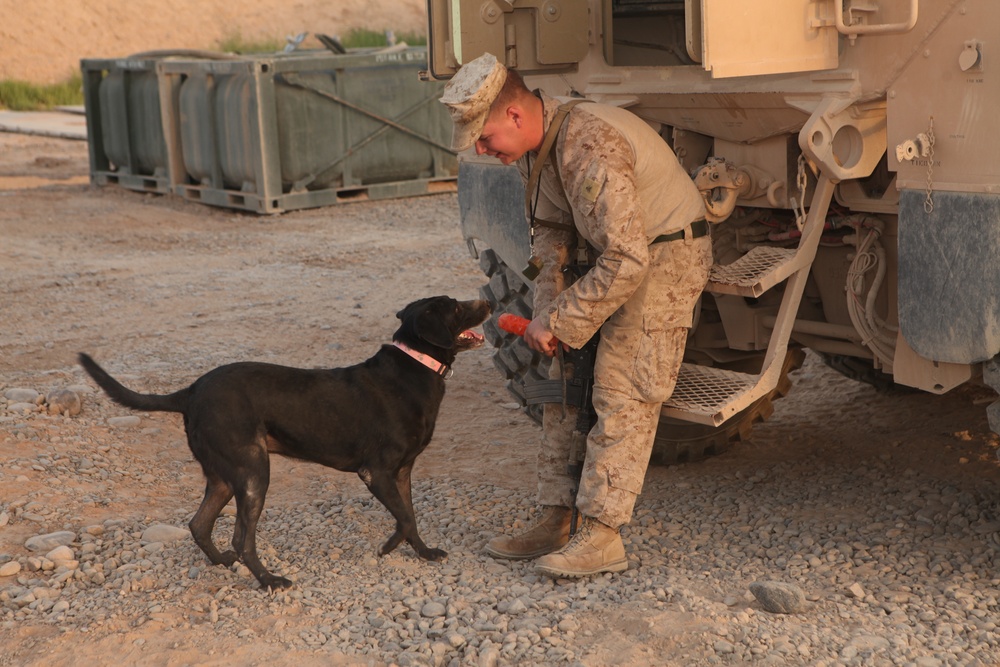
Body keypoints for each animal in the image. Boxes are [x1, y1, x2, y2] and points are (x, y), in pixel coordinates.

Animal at [81, 296, 492, 588]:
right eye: (456, 306)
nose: (489, 302)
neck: (415, 366)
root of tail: (191, 391)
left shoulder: (403, 472)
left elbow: (411, 517)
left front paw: (423, 552)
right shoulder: (376, 472)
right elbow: (404, 518)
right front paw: (388, 547)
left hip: (225, 476)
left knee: (200, 525)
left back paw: (222, 563)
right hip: (253, 473)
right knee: (242, 539)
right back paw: (269, 581)